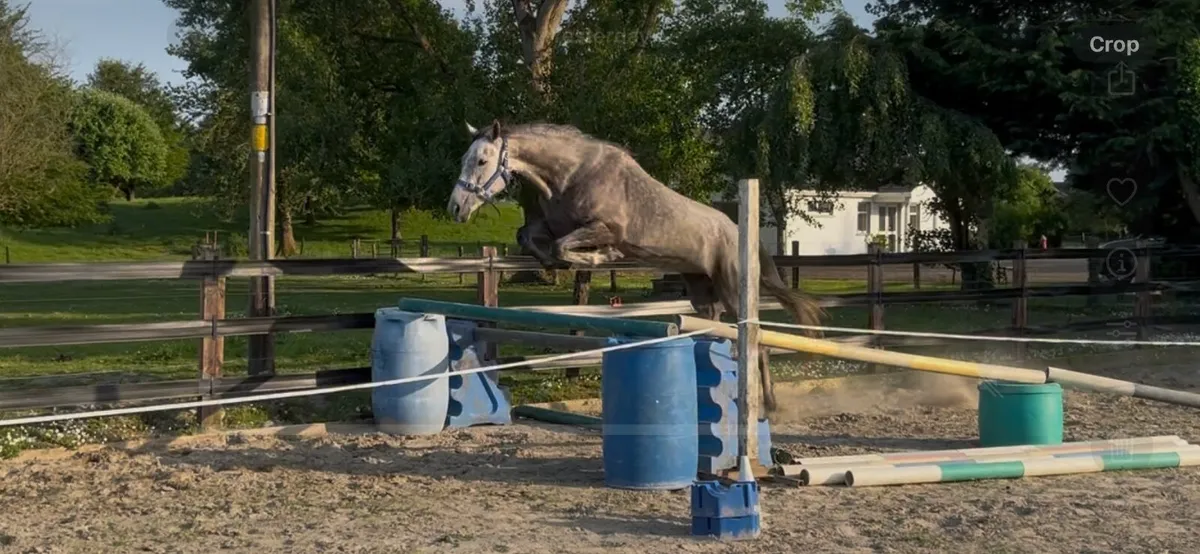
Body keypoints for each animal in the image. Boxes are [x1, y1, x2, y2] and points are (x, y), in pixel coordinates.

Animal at [446, 120, 824, 412]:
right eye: (466, 159)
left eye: (481, 160)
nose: (455, 209)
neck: (570, 175)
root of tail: (738, 231)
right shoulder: (551, 225)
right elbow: (528, 236)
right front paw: (553, 262)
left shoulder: (604, 228)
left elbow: (566, 246)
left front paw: (602, 257)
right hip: (700, 290)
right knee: (715, 329)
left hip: (733, 289)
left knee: (757, 339)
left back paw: (769, 404)